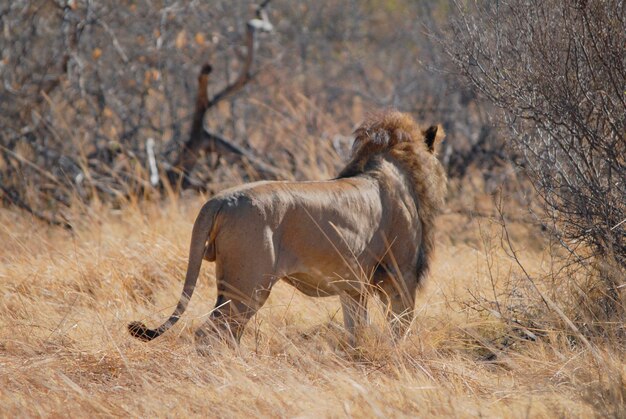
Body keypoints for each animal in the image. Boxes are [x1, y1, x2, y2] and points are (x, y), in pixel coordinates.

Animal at [129, 110, 446, 350]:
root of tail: (217, 201)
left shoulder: (353, 287)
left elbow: (356, 329)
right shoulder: (402, 276)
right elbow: (399, 327)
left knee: (227, 332)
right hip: (249, 285)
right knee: (211, 332)